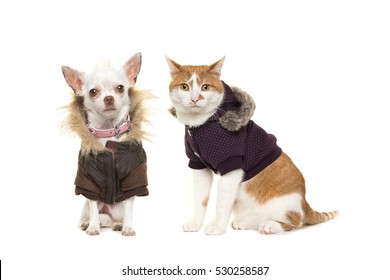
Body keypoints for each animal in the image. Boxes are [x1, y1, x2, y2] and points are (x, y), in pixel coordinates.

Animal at [61, 53, 149, 236]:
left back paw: (118, 224)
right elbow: (94, 207)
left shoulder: (134, 178)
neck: (109, 130)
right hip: (85, 207)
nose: (109, 98)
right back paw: (86, 223)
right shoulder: (90, 181)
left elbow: (129, 208)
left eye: (120, 88)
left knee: (116, 217)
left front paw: (128, 227)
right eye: (93, 92)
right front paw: (93, 227)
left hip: (117, 208)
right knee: (90, 213)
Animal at [166, 55, 336, 235]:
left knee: (294, 221)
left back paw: (270, 225)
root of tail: (305, 203)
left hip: (284, 204)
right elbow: (200, 199)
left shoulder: (231, 165)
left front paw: (217, 226)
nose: (195, 99)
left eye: (205, 87)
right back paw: (243, 222)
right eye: (184, 87)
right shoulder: (198, 165)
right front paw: (195, 223)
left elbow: (221, 203)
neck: (200, 124)